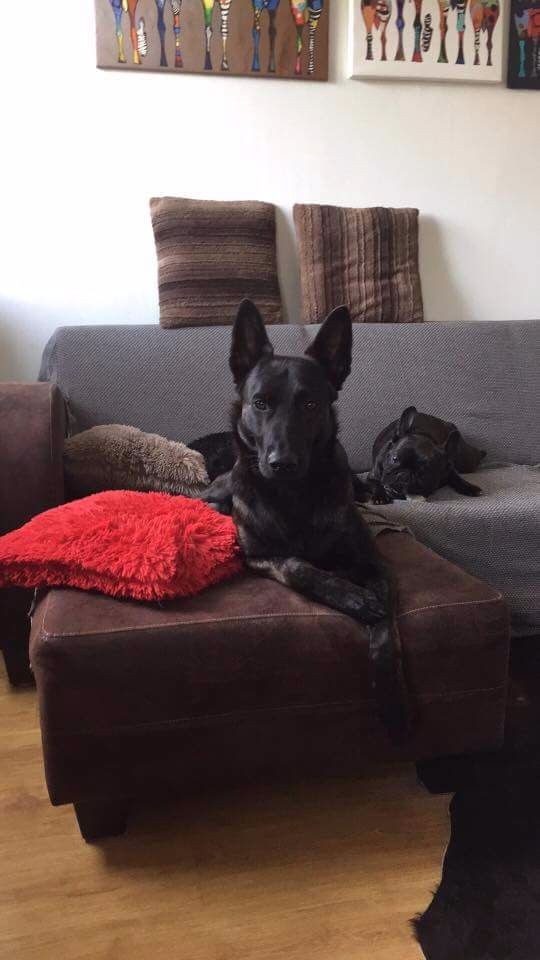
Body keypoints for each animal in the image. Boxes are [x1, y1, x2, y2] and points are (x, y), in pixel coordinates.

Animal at [198, 299, 411, 739]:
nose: (282, 464)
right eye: (260, 403)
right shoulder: (258, 556)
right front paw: (350, 596)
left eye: (310, 404)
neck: (293, 495)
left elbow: (386, 628)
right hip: (220, 491)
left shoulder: (376, 564)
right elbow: (298, 566)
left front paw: (393, 703)